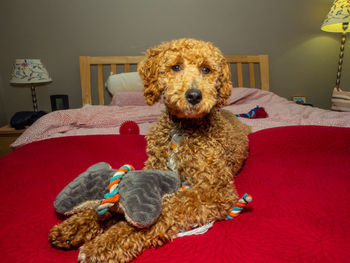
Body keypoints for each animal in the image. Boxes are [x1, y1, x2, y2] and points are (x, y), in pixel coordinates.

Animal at [50, 38, 252, 263]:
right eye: (176, 67)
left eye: (206, 69)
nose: (194, 95)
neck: (181, 128)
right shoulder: (156, 172)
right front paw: (75, 225)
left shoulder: (215, 191)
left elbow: (166, 210)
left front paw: (105, 244)